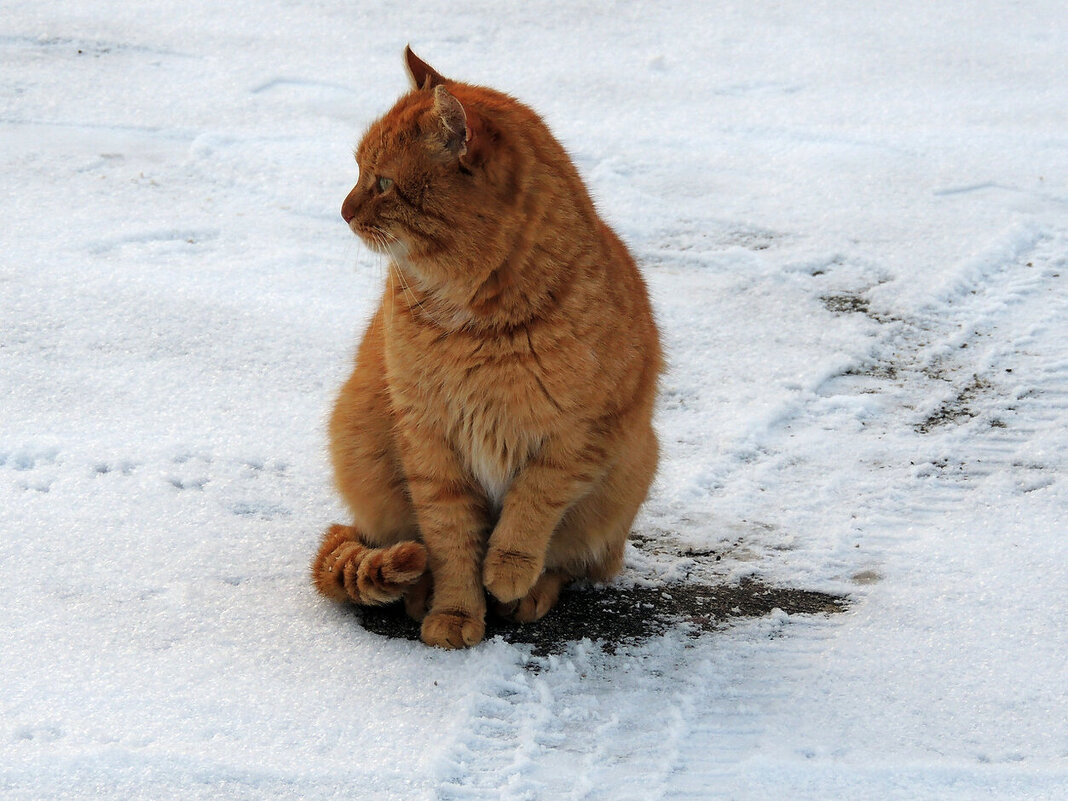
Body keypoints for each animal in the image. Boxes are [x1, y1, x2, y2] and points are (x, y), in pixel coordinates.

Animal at [311, 48, 657, 653]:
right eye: (357, 171)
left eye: (383, 183)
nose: (343, 211)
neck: (474, 323)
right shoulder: (428, 441)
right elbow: (450, 541)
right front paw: (454, 614)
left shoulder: (584, 436)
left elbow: (531, 505)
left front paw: (508, 573)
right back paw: (422, 596)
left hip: (626, 478)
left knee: (574, 562)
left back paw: (529, 594)